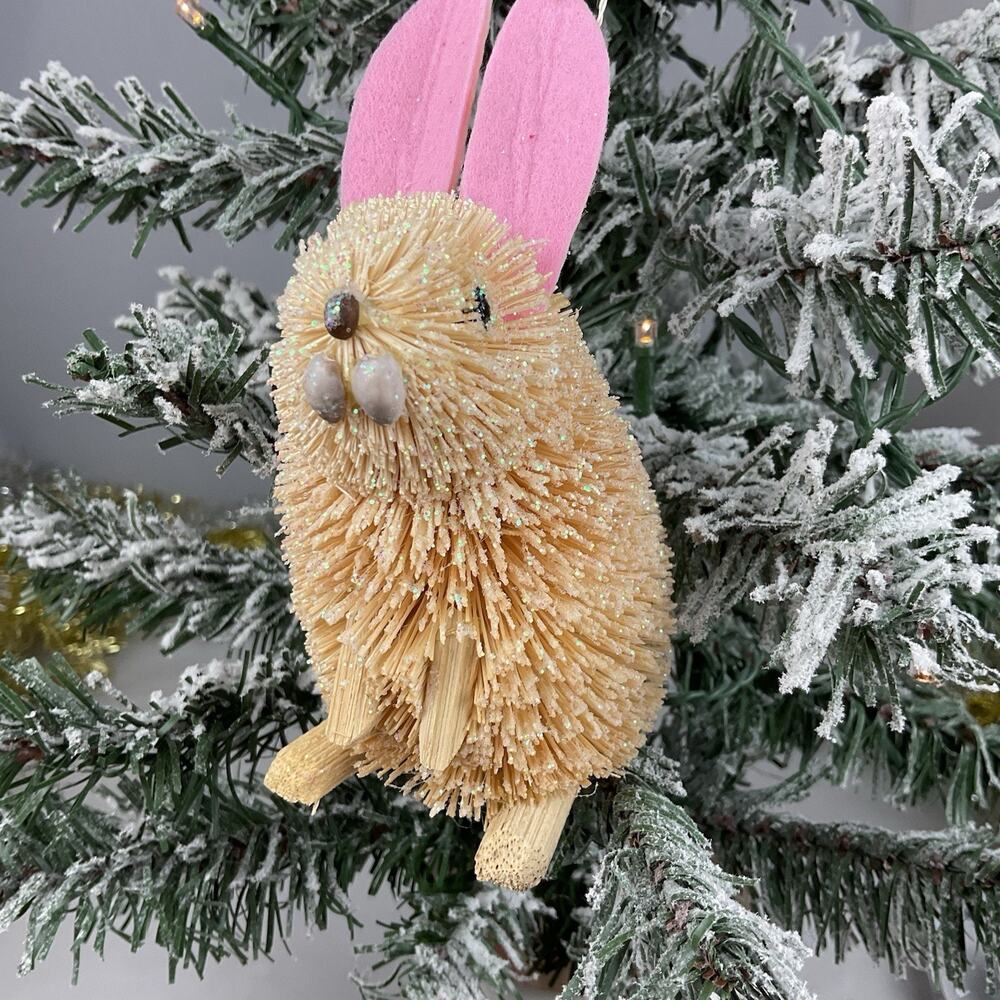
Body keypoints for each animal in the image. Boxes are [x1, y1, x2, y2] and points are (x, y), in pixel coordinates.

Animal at [264, 0, 674, 891]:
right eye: (327, 265)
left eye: (481, 305)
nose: (342, 311)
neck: (418, 500)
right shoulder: (355, 609)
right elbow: (359, 676)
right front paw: (349, 731)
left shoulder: (472, 617)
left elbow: (450, 680)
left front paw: (439, 742)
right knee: (358, 739)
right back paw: (304, 765)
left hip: (567, 713)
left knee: (549, 788)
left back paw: (506, 857)